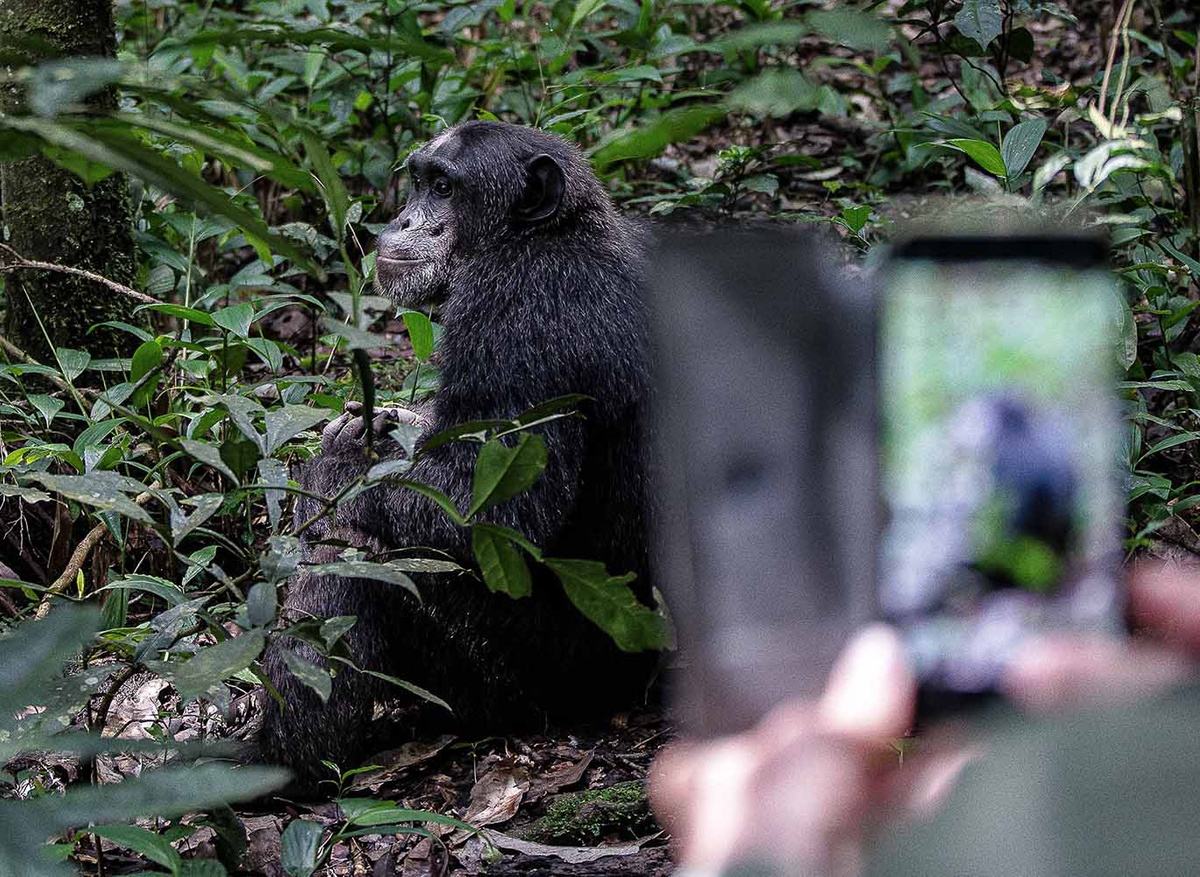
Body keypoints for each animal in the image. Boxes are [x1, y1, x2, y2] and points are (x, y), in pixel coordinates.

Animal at [260, 121, 657, 785]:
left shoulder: (513, 316)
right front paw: (370, 430)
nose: (399, 220)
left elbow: (485, 508)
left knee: (355, 555)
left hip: (513, 679)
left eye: (444, 188)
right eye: (420, 181)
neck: (538, 236)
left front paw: (332, 472)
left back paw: (282, 761)